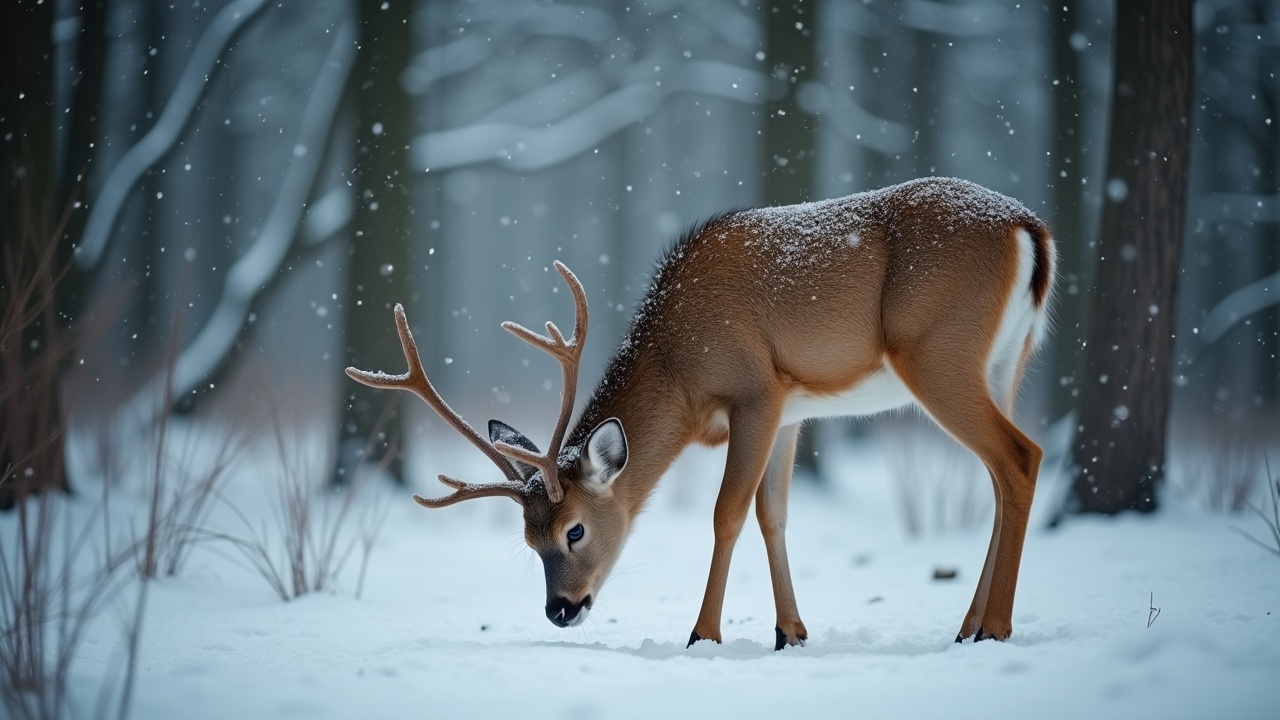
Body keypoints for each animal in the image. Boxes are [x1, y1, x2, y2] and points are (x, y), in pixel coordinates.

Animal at [345, 176, 1054, 648]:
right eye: (528, 538)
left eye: (573, 531)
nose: (560, 610)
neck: (680, 371)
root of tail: (1032, 232)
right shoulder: (791, 408)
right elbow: (774, 513)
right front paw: (790, 632)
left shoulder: (757, 389)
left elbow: (728, 512)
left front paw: (703, 634)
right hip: (1007, 361)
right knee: (999, 475)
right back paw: (967, 625)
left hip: (937, 353)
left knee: (1021, 457)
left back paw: (994, 627)